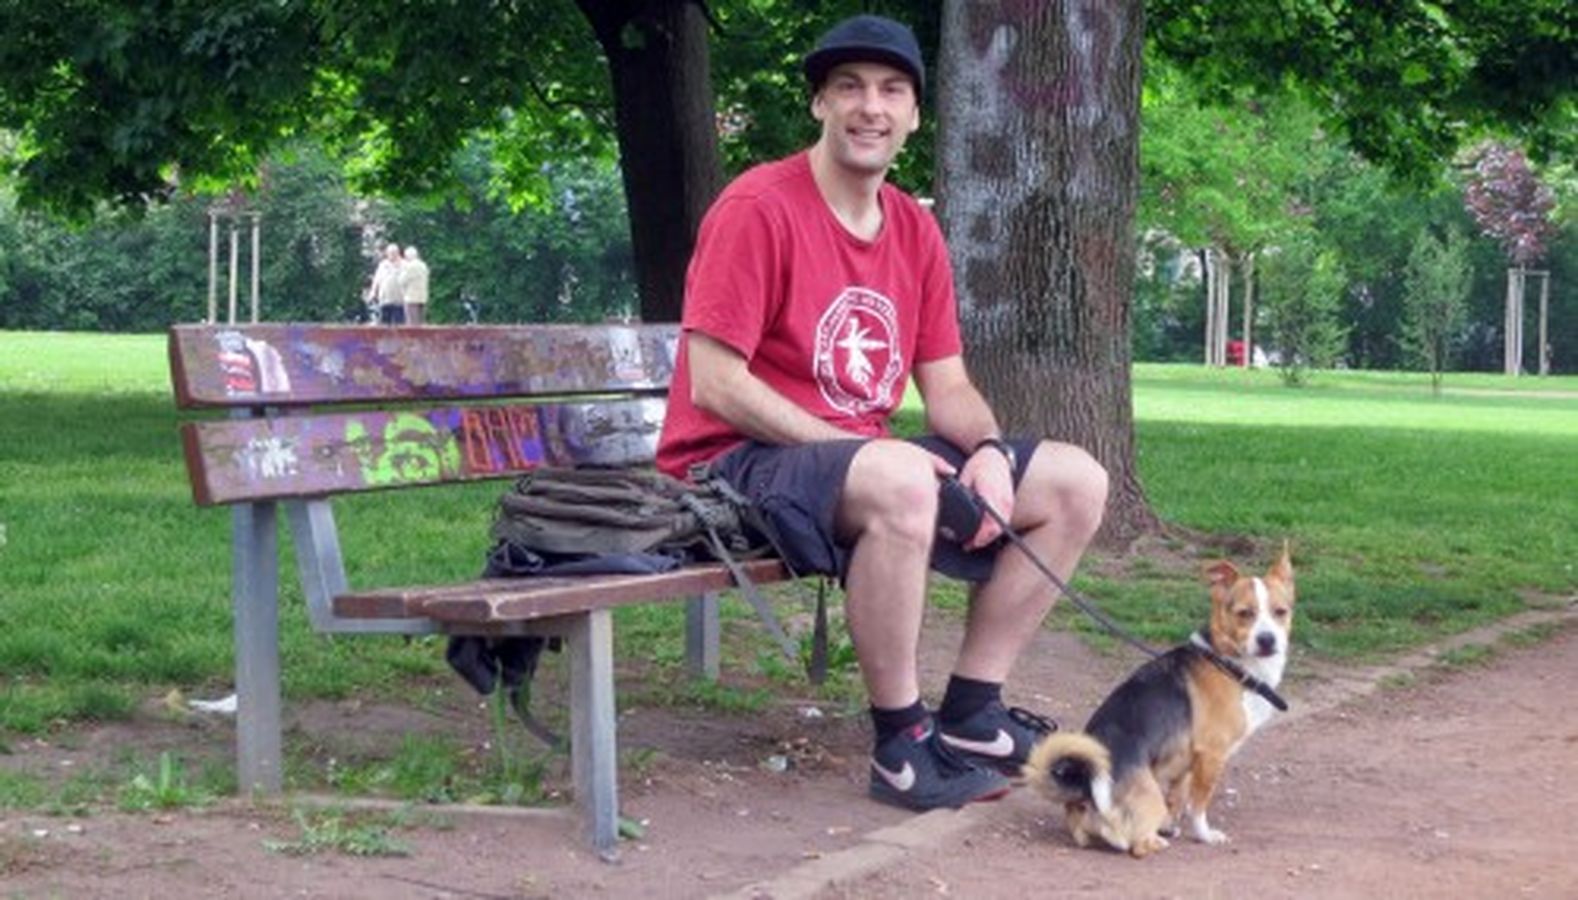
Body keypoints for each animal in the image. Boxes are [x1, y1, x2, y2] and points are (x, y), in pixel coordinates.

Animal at [1022, 540, 1293, 852]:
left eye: (1281, 612)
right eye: (1244, 613)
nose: (1267, 639)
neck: (1230, 664)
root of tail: (1086, 792)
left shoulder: (1187, 762)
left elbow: (1178, 798)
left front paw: (1171, 827)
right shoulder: (1211, 756)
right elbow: (1198, 805)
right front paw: (1204, 835)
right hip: (1151, 797)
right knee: (1136, 846)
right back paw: (1156, 842)